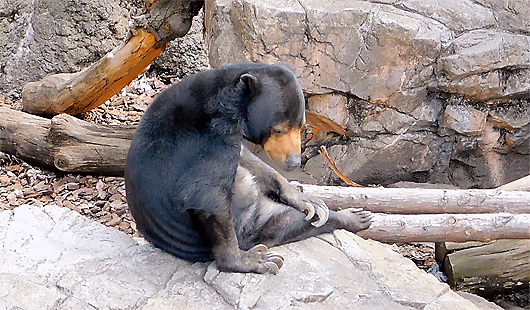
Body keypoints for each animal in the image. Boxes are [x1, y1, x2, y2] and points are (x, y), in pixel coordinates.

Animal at [125, 63, 372, 274]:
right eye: (278, 130)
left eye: (301, 126)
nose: (294, 162)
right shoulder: (208, 143)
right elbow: (207, 196)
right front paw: (252, 260)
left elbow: (247, 158)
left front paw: (305, 198)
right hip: (249, 227)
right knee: (286, 223)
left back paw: (353, 216)